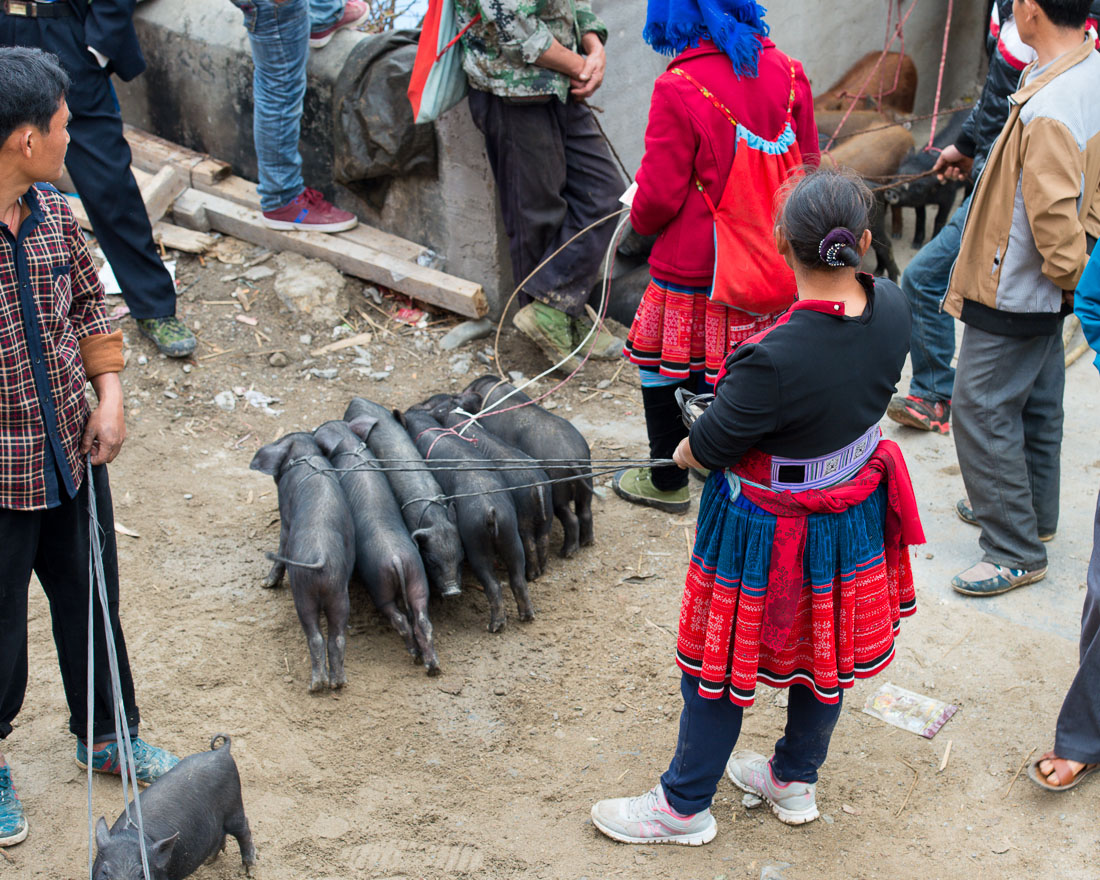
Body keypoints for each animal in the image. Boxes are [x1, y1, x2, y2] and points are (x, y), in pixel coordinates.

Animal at [249, 433, 352, 695]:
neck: (306, 453)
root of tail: (321, 556)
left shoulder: (285, 516)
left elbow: (281, 544)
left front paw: (265, 584)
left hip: (303, 593)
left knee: (315, 636)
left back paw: (316, 685)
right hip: (338, 592)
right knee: (337, 637)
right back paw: (337, 683)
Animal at [314, 420, 437, 673]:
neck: (350, 444)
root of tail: (396, 558)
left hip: (381, 587)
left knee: (399, 619)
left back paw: (415, 656)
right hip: (417, 577)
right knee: (422, 619)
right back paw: (432, 666)